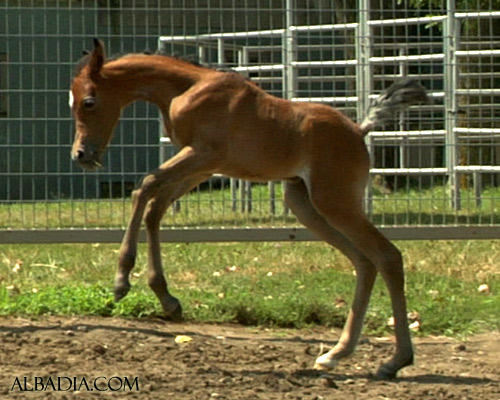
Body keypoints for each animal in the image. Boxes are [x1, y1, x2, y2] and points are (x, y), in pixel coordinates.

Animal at [70, 39, 428, 380]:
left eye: (89, 102)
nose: (81, 155)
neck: (186, 88)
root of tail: (358, 130)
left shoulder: (202, 154)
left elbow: (143, 188)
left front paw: (122, 281)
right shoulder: (203, 167)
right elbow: (155, 206)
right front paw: (167, 298)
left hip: (334, 201)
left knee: (387, 256)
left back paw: (395, 361)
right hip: (306, 204)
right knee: (364, 262)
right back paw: (336, 354)